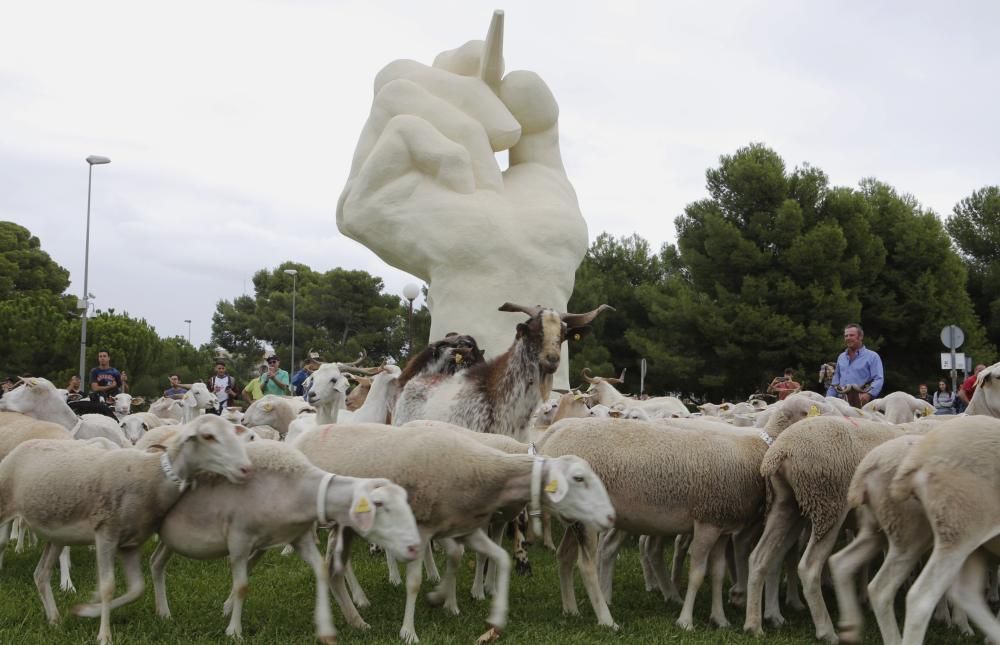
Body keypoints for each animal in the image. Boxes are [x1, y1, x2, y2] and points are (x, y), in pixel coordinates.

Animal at [0, 416, 254, 640]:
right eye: (208, 436)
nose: (245, 469)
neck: (153, 477)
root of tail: (21, 447)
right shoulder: (106, 533)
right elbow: (108, 586)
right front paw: (104, 635)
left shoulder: (130, 543)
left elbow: (136, 589)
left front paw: (88, 610)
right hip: (5, 507)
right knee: (13, 551)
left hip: (56, 533)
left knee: (41, 574)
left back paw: (54, 619)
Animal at [146, 438, 420, 640]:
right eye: (380, 505)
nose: (414, 547)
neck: (295, 486)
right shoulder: (239, 540)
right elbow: (241, 586)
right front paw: (234, 631)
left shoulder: (299, 538)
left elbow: (323, 571)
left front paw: (332, 624)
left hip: (169, 539)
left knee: (156, 562)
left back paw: (163, 613)